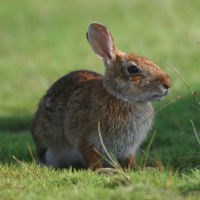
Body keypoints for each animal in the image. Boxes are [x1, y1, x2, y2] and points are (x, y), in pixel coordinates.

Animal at [31, 21, 172, 170]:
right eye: (133, 69)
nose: (168, 84)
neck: (119, 97)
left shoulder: (128, 149)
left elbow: (130, 161)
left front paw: (141, 168)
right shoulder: (86, 140)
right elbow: (92, 158)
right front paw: (102, 171)